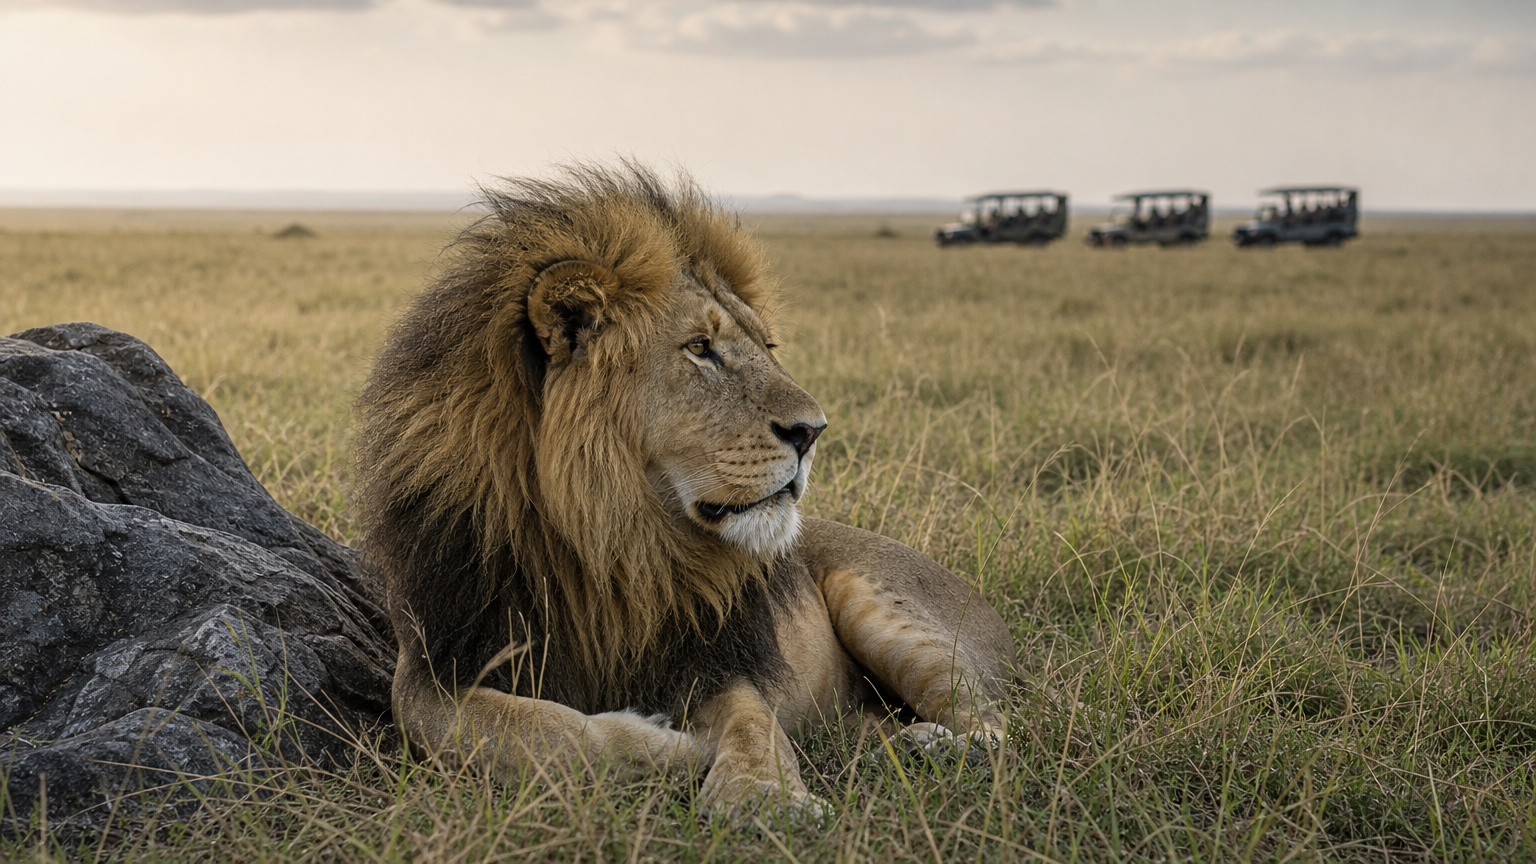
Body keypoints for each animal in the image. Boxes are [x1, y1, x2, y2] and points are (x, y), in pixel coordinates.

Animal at [355, 162, 1016, 815]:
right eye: (701, 348)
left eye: (767, 347)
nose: (814, 431)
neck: (614, 541)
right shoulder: (433, 662)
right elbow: (536, 729)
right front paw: (673, 748)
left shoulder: (715, 653)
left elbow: (753, 721)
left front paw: (763, 796)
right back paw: (899, 746)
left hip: (880, 607)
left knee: (992, 719)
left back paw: (936, 748)